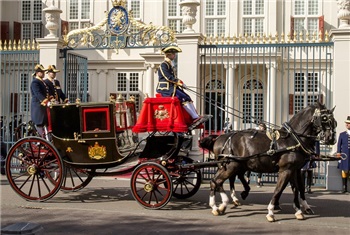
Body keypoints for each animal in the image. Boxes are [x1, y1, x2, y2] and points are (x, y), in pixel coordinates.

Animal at [202, 103, 336, 222]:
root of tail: (221, 138)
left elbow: (297, 189)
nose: (331, 139)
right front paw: (271, 211)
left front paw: (299, 210)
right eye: (324, 118)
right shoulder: (286, 170)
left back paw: (223, 204)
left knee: (217, 181)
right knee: (216, 181)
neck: (293, 139)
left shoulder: (294, 169)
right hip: (231, 166)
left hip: (231, 166)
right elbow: (279, 190)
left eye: (334, 121)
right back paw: (218, 205)